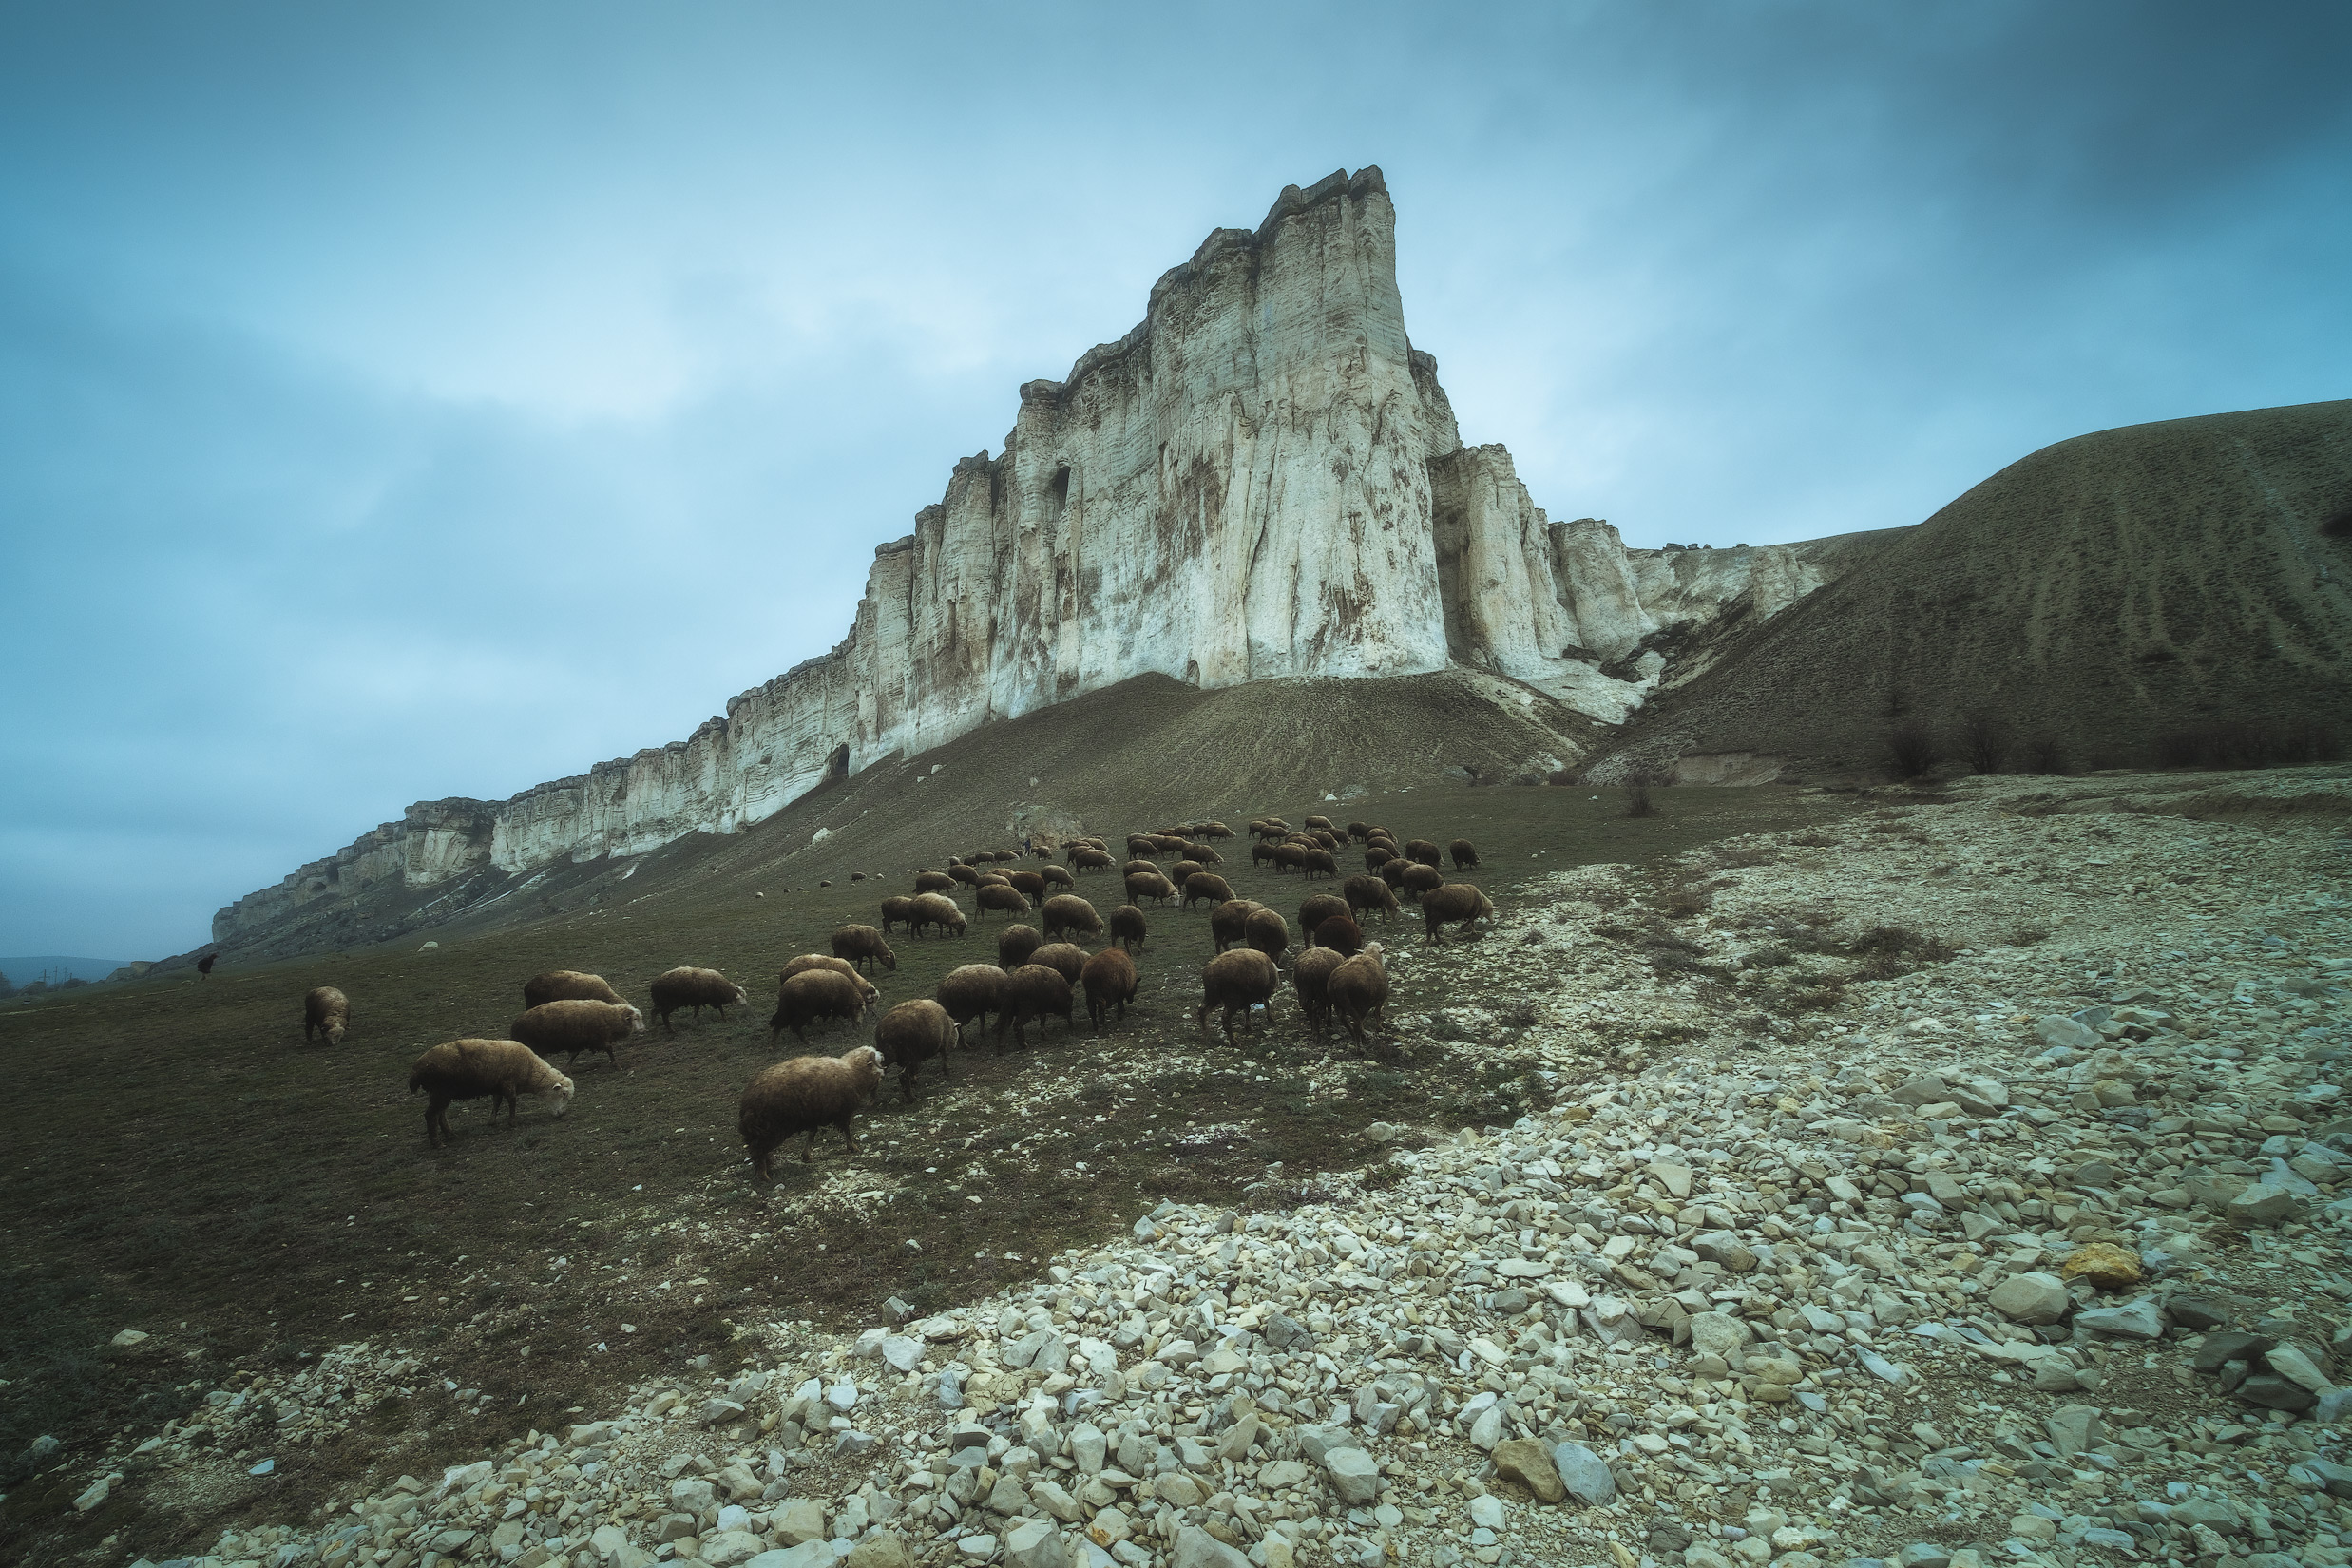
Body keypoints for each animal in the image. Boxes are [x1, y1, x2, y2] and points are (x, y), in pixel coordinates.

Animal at [409, 1048, 573, 1147]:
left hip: (441, 1093)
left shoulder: (498, 1086)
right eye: (563, 1094)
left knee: (440, 1114)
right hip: (441, 1092)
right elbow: (512, 1102)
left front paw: (492, 1121)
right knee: (431, 1115)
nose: (563, 1114)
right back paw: (436, 1142)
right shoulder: (508, 1083)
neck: (530, 1071)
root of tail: (416, 1070)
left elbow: (497, 1102)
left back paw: (450, 1134)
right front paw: (512, 1122)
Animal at [510, 1001, 644, 1072]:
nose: (643, 1029)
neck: (610, 1016)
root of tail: (515, 1025)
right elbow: (609, 1050)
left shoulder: (579, 1041)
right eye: (635, 1018)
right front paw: (617, 1065)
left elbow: (574, 1055)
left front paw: (567, 1068)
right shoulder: (599, 1038)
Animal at [734, 1043, 884, 1175]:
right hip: (770, 1129)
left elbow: (812, 1134)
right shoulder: (842, 1112)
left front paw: (806, 1155)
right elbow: (846, 1131)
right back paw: (763, 1174)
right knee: (757, 1149)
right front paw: (852, 1147)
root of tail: (747, 1101)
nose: (881, 1076)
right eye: (876, 1062)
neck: (853, 1071)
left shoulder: (814, 1115)